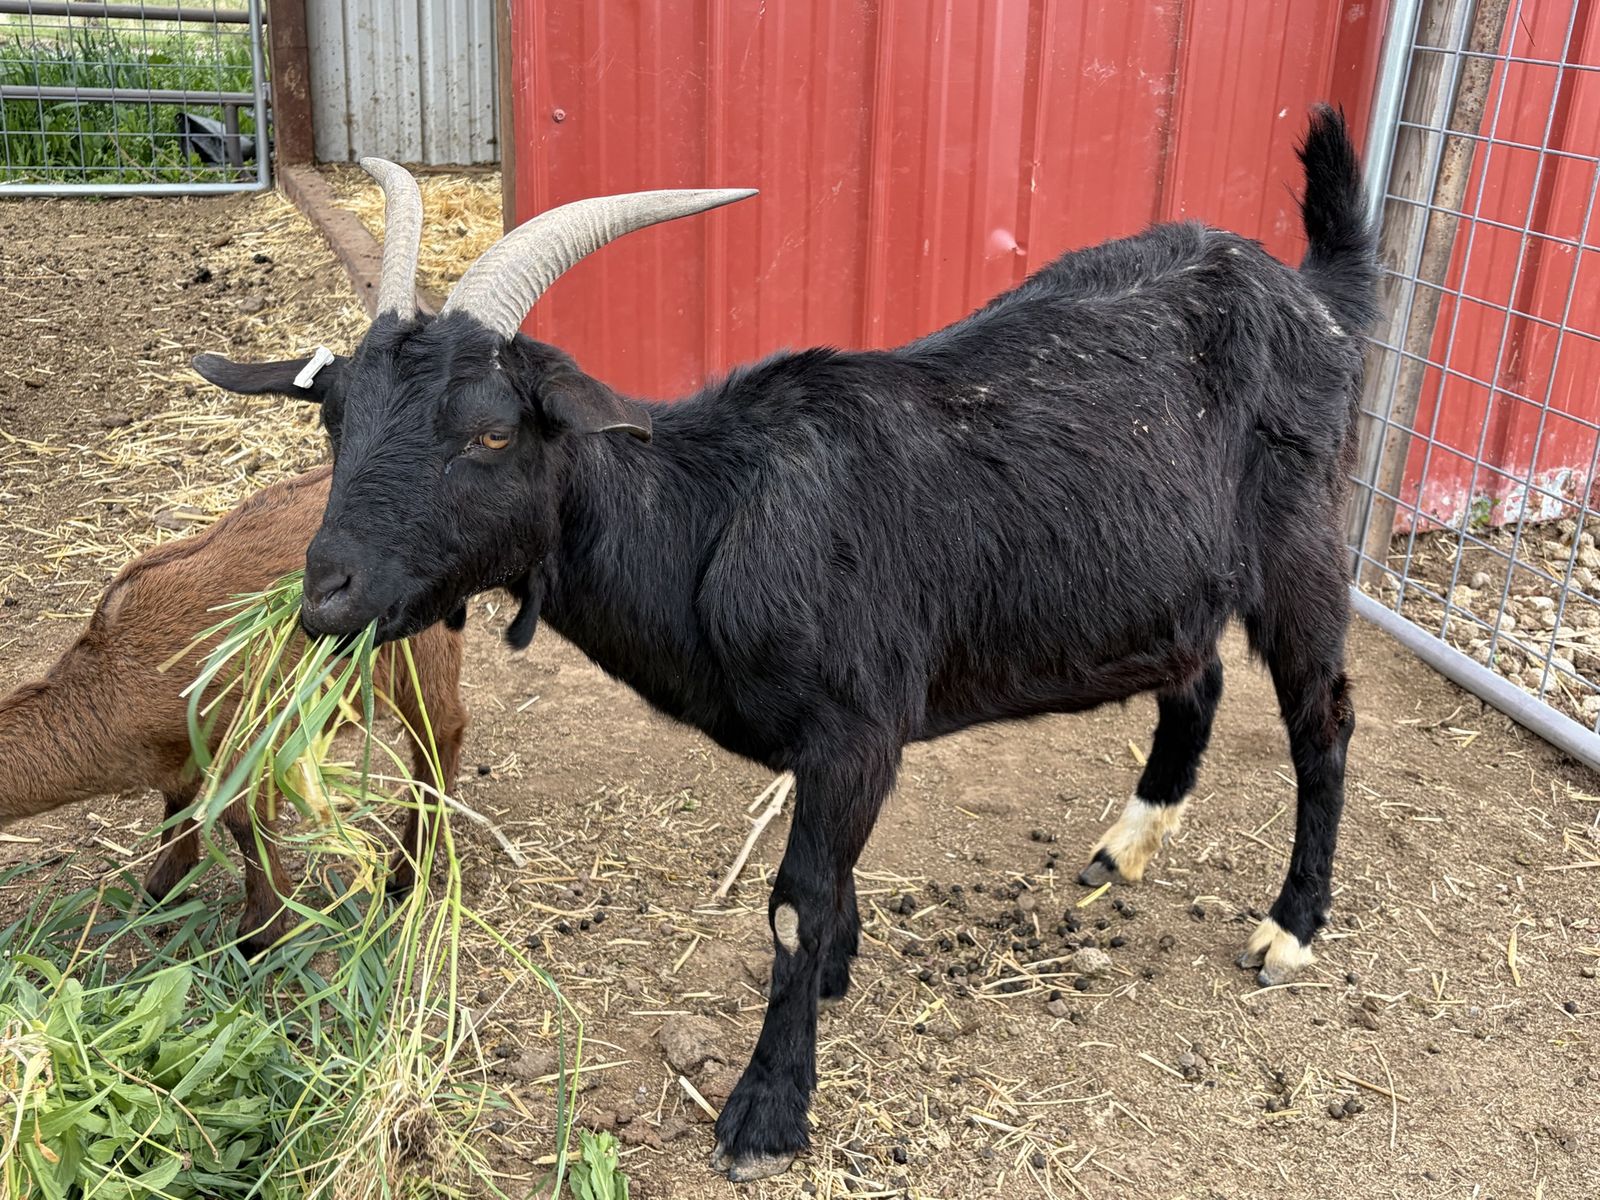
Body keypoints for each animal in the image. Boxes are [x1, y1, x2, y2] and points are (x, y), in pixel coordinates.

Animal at [0, 467, 467, 953]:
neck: (117, 673)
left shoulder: (252, 723)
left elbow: (243, 819)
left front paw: (261, 930)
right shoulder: (184, 748)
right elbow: (179, 797)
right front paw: (164, 883)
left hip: (423, 648)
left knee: (440, 736)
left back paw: (407, 872)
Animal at [192, 107, 1377, 1180]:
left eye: (491, 432)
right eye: (334, 416)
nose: (326, 593)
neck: (715, 520)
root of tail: (1309, 297)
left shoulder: (855, 731)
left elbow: (794, 910)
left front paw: (766, 1111)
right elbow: (825, 896)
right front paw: (843, 973)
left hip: (1302, 547)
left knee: (1322, 717)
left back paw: (1289, 927)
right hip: (1173, 578)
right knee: (1197, 676)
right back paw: (1128, 843)